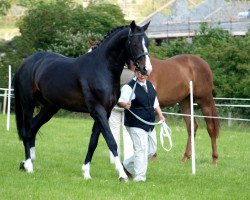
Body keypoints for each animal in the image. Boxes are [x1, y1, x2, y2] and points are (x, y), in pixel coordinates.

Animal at [13, 20, 150, 181]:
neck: (102, 68)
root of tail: (25, 63)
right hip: (28, 103)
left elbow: (93, 142)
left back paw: (27, 162)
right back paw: (28, 165)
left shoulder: (106, 112)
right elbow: (111, 141)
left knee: (34, 128)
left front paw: (86, 172)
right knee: (27, 131)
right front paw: (122, 175)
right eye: (135, 43)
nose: (146, 69)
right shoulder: (98, 111)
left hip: (49, 108)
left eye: (147, 42)